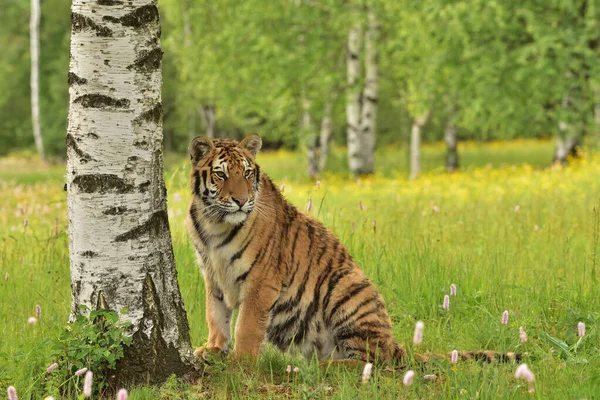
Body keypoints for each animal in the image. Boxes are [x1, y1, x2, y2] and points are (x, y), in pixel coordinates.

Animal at [185, 136, 516, 368]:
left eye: (246, 173)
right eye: (221, 175)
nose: (241, 201)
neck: (215, 223)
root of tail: (395, 344)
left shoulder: (262, 280)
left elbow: (248, 325)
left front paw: (239, 363)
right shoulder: (212, 274)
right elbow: (216, 314)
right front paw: (212, 349)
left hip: (345, 285)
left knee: (370, 362)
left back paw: (321, 368)